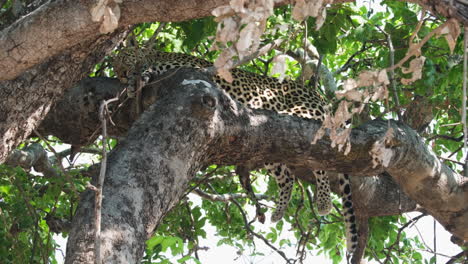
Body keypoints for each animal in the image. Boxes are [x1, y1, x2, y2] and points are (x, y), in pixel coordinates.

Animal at [112, 46, 358, 255]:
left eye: (123, 58)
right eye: (115, 66)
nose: (120, 74)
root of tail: (320, 97)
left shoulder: (183, 67)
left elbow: (150, 70)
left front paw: (135, 81)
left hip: (305, 115)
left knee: (321, 158)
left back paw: (324, 202)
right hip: (270, 148)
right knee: (287, 176)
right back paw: (280, 211)